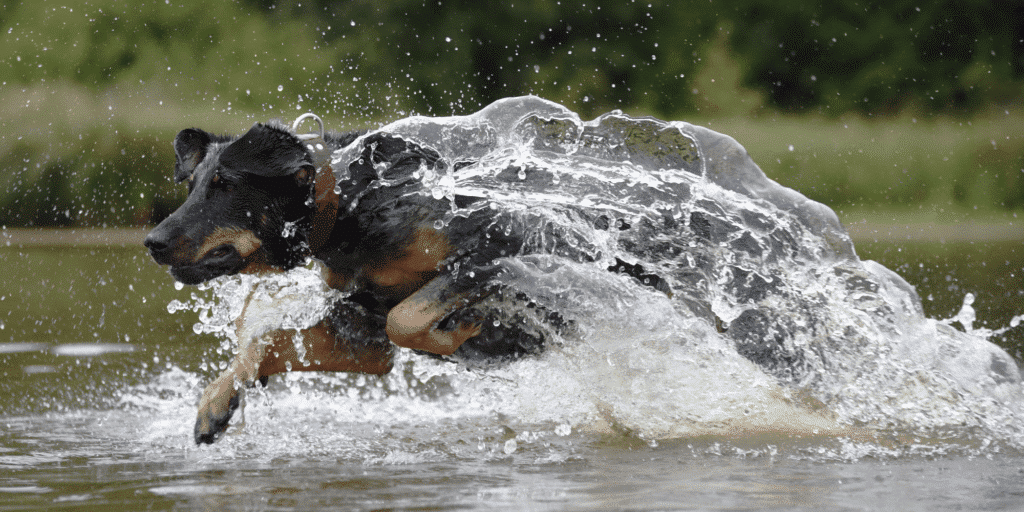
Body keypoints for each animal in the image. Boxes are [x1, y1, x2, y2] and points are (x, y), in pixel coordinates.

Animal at [144, 116, 671, 444]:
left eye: (225, 186)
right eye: (193, 187)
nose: (153, 241)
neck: (352, 207)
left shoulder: (496, 247)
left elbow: (408, 315)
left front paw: (456, 333)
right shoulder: (363, 333)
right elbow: (268, 342)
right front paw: (217, 401)